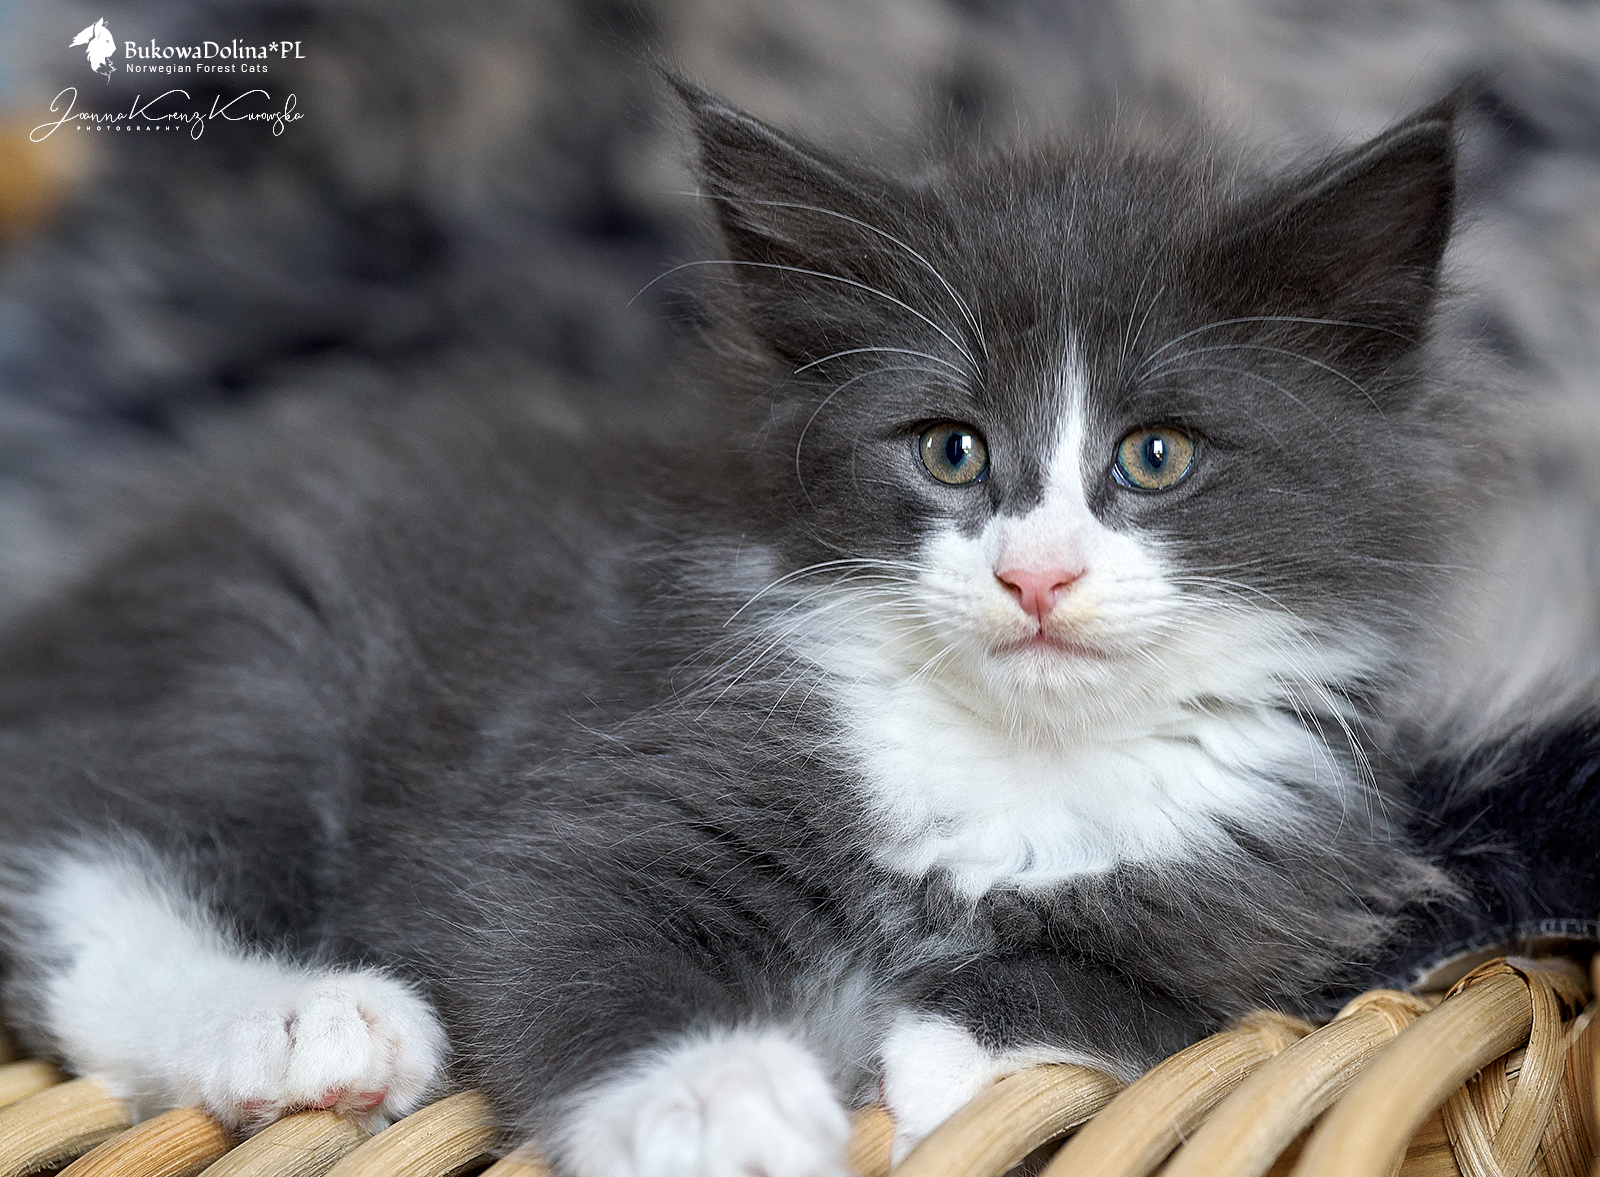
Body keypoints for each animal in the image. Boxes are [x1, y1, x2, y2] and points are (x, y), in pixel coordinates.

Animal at [0, 82, 1504, 1176]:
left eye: (1155, 456)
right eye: (951, 451)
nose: (1037, 578)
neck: (1015, 755)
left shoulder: (1271, 890)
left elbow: (1121, 997)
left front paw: (944, 1065)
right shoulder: (619, 765)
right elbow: (561, 934)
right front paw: (719, 1099)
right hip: (253, 652)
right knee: (80, 868)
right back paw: (302, 1022)